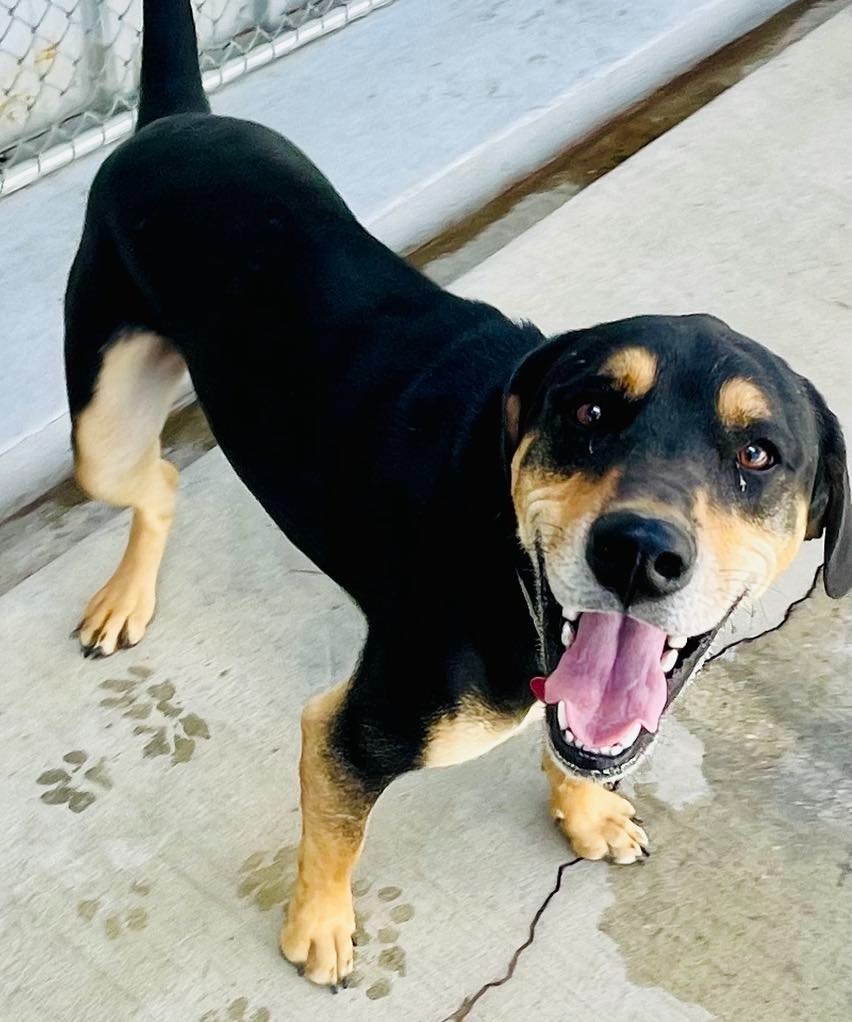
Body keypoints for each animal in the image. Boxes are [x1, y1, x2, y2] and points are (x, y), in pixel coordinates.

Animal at [66, 0, 849, 989]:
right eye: (591, 408)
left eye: (758, 454)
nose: (639, 553)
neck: (504, 553)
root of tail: (177, 118)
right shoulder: (355, 730)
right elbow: (339, 834)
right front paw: (318, 927)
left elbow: (578, 742)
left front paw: (586, 813)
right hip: (101, 427)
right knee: (156, 477)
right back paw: (123, 599)